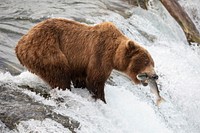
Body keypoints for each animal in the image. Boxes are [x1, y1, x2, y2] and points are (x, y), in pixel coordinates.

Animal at [15, 18, 157, 102]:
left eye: (153, 63)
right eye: (145, 61)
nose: (155, 76)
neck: (114, 55)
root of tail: (20, 44)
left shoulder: (80, 64)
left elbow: (82, 78)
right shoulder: (100, 54)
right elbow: (95, 80)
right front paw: (101, 99)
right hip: (46, 49)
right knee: (59, 74)